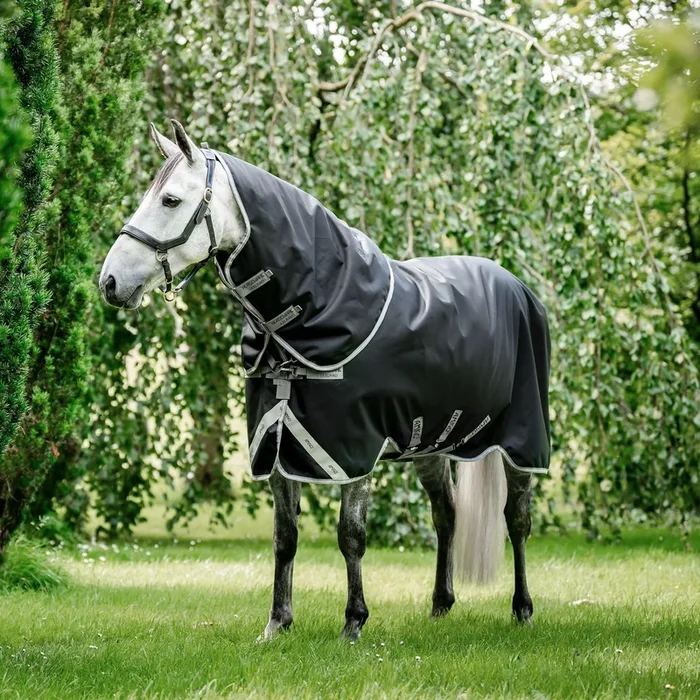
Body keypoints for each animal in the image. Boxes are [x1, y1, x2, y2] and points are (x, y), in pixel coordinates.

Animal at [100, 119, 551, 641]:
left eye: (171, 200)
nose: (109, 282)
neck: (314, 311)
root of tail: (515, 285)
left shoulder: (355, 451)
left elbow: (350, 535)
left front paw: (353, 622)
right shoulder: (276, 444)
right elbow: (285, 537)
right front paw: (277, 624)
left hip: (521, 440)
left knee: (517, 520)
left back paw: (523, 608)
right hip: (430, 445)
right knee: (447, 515)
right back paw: (441, 604)